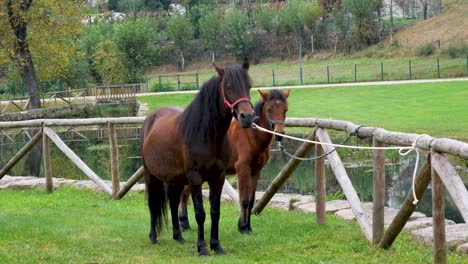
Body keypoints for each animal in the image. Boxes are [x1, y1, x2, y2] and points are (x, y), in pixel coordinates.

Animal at [141, 60, 254, 256]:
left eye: (249, 85)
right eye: (228, 86)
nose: (247, 117)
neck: (207, 134)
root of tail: (150, 119)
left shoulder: (218, 178)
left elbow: (215, 212)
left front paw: (216, 246)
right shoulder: (195, 179)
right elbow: (200, 213)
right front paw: (202, 248)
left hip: (175, 179)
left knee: (173, 202)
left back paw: (178, 236)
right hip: (151, 175)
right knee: (153, 204)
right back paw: (153, 237)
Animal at [178, 89, 288, 234]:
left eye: (285, 109)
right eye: (269, 109)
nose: (279, 134)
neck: (252, 136)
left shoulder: (256, 171)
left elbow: (251, 201)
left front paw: (248, 226)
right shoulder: (242, 169)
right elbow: (243, 200)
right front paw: (242, 227)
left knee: (185, 193)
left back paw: (185, 223)